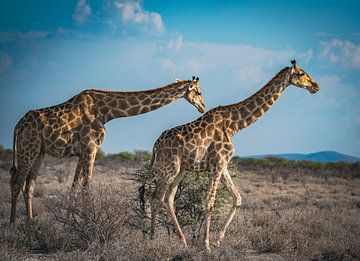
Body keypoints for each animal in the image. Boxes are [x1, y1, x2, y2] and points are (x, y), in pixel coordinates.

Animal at [9, 76, 205, 222]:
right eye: (198, 91)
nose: (202, 107)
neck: (106, 111)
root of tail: (17, 126)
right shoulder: (90, 148)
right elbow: (86, 186)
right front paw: (87, 221)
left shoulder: (82, 152)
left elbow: (74, 186)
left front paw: (68, 221)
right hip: (28, 148)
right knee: (17, 183)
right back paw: (13, 224)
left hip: (39, 152)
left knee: (29, 186)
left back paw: (30, 223)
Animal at [150, 60, 320, 250]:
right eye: (300, 73)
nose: (315, 86)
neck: (234, 125)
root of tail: (155, 145)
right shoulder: (217, 164)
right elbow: (210, 203)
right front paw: (206, 245)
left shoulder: (222, 165)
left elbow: (237, 198)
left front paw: (218, 240)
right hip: (168, 168)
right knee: (155, 196)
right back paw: (151, 238)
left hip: (180, 170)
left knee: (168, 199)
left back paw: (182, 241)